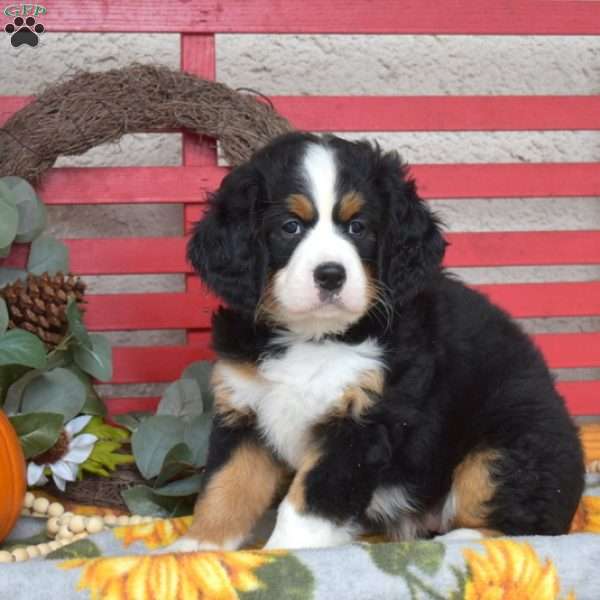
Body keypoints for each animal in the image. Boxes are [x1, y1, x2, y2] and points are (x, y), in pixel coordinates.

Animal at [172, 134, 580, 552]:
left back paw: (462, 540)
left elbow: (306, 504)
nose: (331, 275)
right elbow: (226, 487)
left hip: (507, 445)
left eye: (357, 227)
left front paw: (283, 552)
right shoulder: (246, 408)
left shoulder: (363, 422)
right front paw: (197, 548)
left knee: (526, 522)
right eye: (290, 227)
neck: (315, 337)